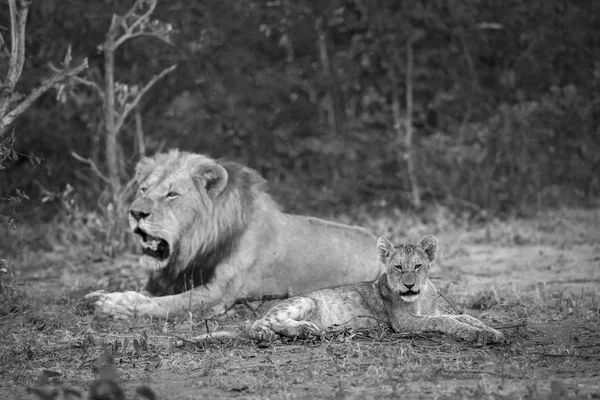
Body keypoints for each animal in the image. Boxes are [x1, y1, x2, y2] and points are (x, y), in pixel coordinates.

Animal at [86, 150, 380, 318]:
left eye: (172, 194)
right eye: (144, 189)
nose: (136, 212)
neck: (193, 247)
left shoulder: (219, 293)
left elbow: (166, 304)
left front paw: (114, 305)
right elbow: (146, 294)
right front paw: (100, 294)